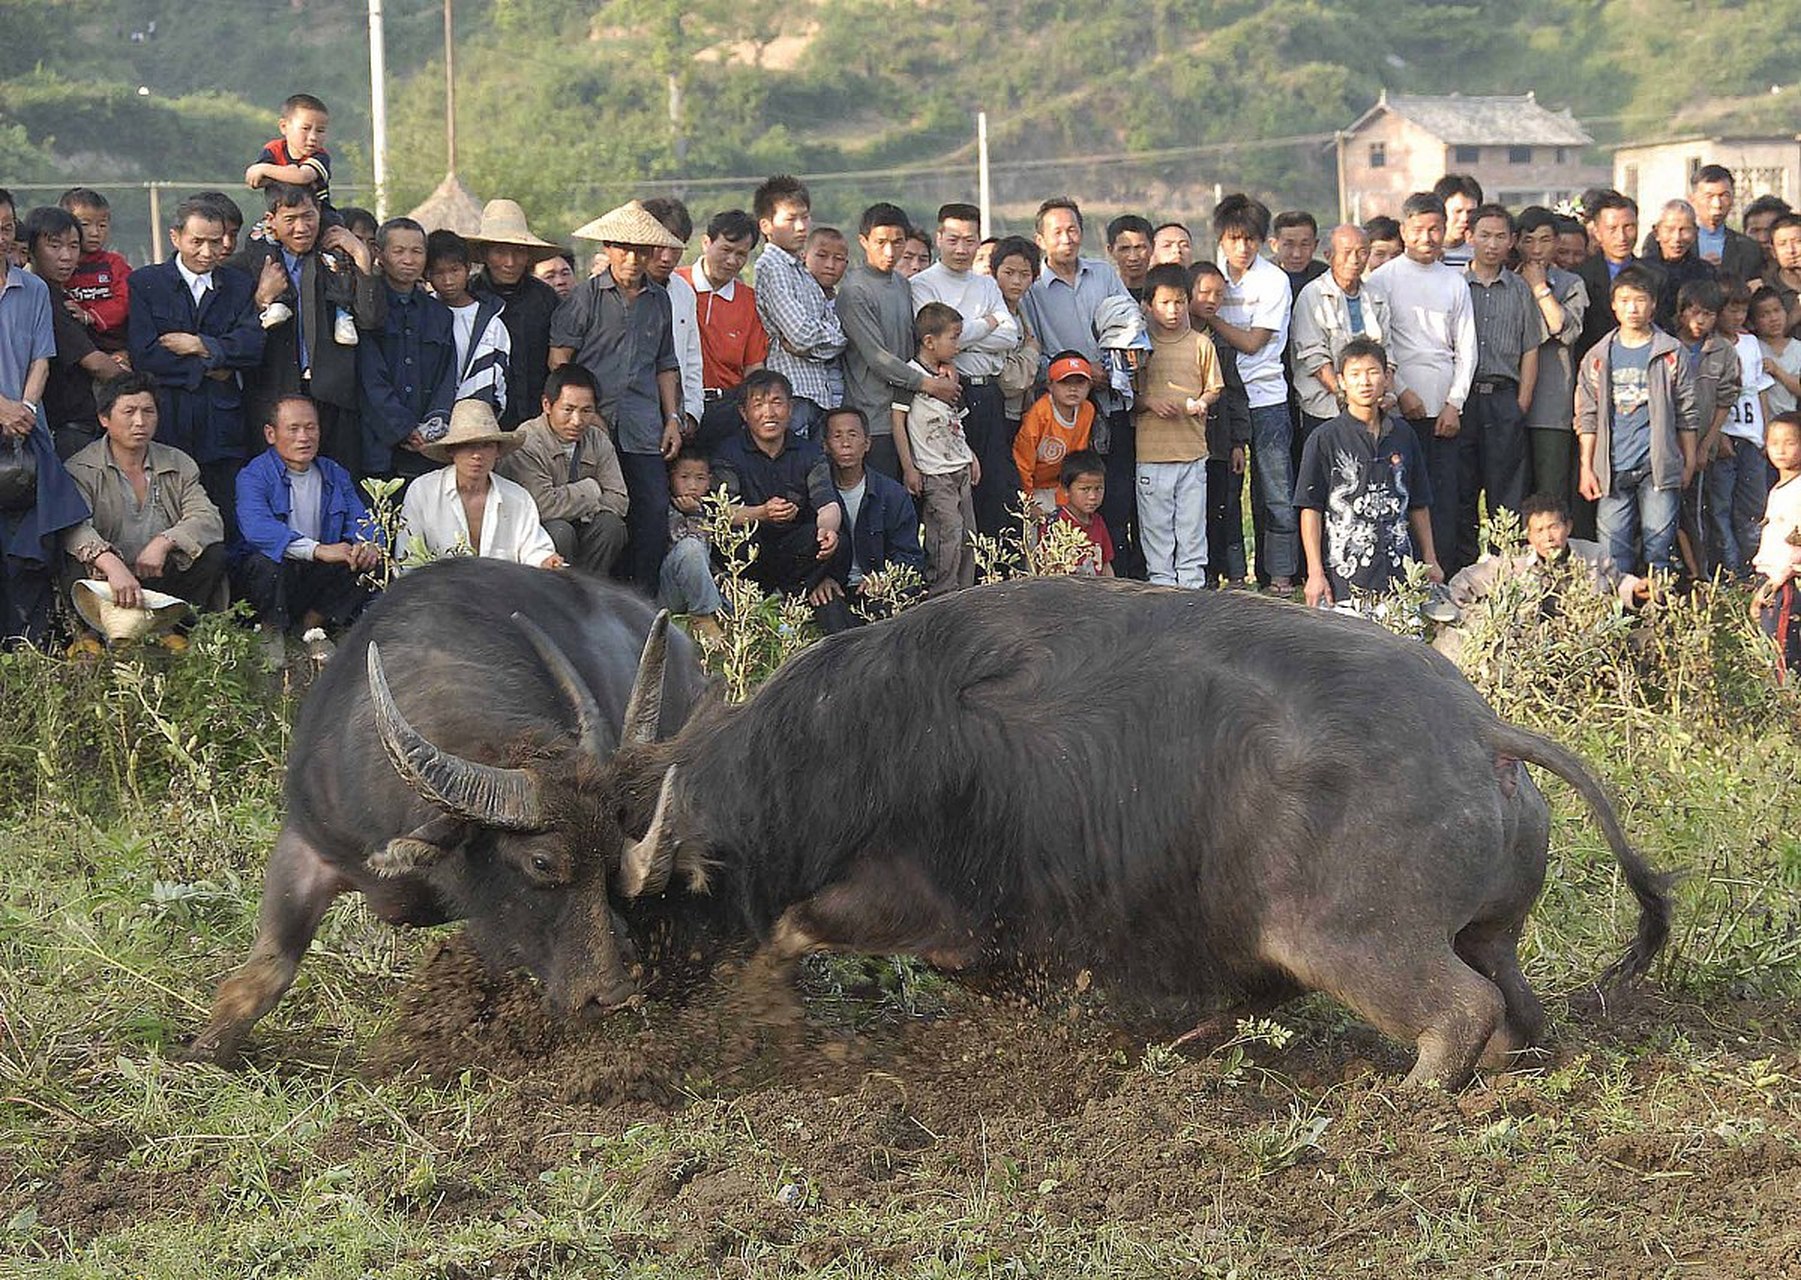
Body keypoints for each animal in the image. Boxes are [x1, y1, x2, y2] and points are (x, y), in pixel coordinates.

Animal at [190, 561, 702, 1058]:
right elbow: (265, 973)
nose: (611, 993)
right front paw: (204, 1049)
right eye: (541, 862)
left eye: (610, 858)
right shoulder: (307, 843)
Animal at [601, 579, 1656, 1094]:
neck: (844, 743)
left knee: (1459, 1010)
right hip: (1487, 932)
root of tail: (1482, 732)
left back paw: (1399, 1095)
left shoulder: (912, 905)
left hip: (1349, 942)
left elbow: (793, 930)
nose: (627, 995)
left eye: (653, 908)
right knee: (1517, 1007)